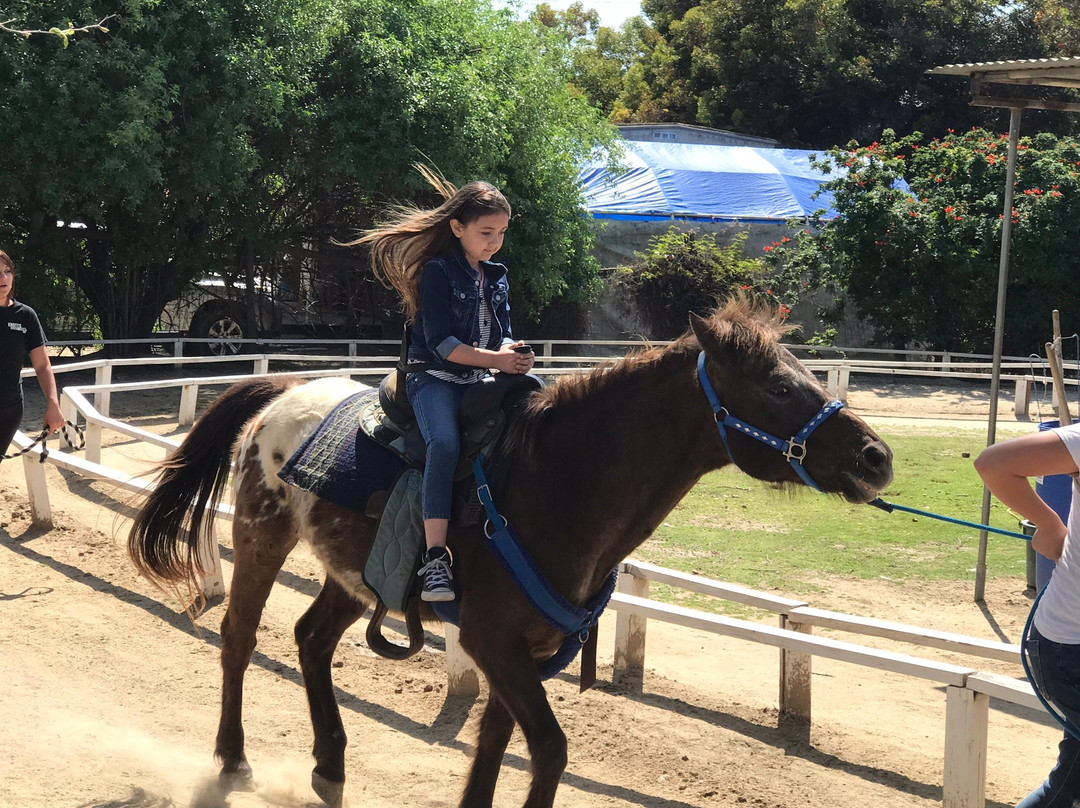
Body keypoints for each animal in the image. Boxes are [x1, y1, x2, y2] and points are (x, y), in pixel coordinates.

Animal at [127, 299, 893, 808]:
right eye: (779, 386)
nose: (876, 457)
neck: (554, 483)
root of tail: (283, 390)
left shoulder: (520, 654)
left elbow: (495, 747)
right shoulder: (495, 644)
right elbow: (549, 750)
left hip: (357, 575)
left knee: (311, 639)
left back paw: (331, 766)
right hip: (261, 539)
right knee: (239, 636)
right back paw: (233, 760)